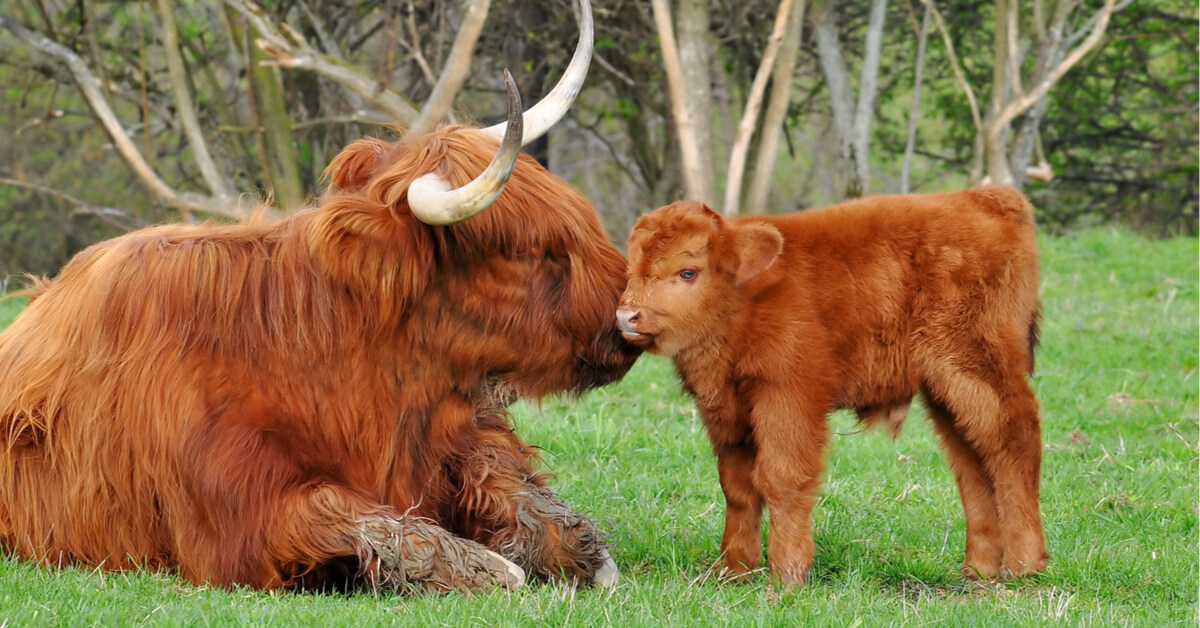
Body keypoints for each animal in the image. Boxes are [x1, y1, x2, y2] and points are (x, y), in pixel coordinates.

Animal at [0, 0, 648, 595]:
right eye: (531, 250)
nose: (627, 317)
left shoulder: (460, 431)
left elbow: (524, 497)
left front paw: (582, 554)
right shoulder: (242, 515)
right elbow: (382, 524)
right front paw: (491, 567)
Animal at [619, 186, 1051, 585]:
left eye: (688, 272)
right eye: (631, 269)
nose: (627, 316)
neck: (744, 300)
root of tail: (983, 196)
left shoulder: (789, 397)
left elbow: (782, 478)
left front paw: (787, 575)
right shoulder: (727, 412)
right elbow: (737, 488)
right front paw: (733, 569)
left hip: (977, 370)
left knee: (1014, 443)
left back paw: (1024, 564)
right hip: (947, 392)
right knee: (972, 463)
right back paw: (979, 568)